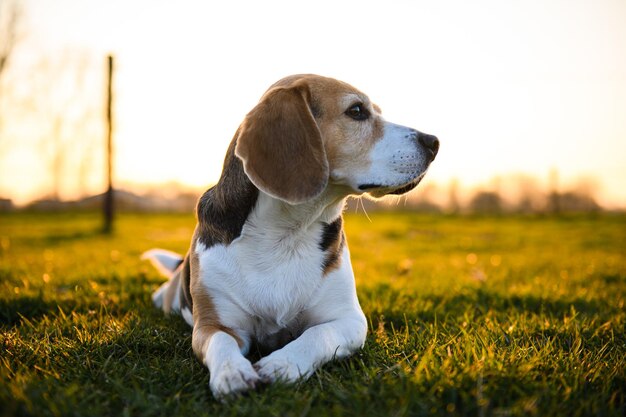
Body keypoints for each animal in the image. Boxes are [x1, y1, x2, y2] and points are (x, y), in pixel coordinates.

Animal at [143, 74, 436, 396]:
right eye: (357, 111)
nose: (434, 142)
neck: (287, 233)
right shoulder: (212, 325)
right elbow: (221, 343)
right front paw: (232, 373)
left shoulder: (349, 320)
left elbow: (318, 335)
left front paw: (281, 364)